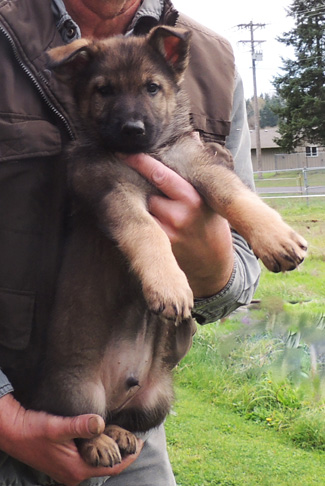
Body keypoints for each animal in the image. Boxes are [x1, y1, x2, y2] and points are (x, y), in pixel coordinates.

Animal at [33, 25, 306, 468]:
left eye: (152, 87)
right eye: (104, 90)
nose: (132, 129)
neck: (151, 152)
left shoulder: (196, 164)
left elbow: (235, 195)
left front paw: (275, 236)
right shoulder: (113, 191)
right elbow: (148, 230)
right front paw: (170, 285)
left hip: (157, 398)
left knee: (121, 417)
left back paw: (120, 434)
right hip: (77, 391)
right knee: (82, 424)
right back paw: (99, 444)